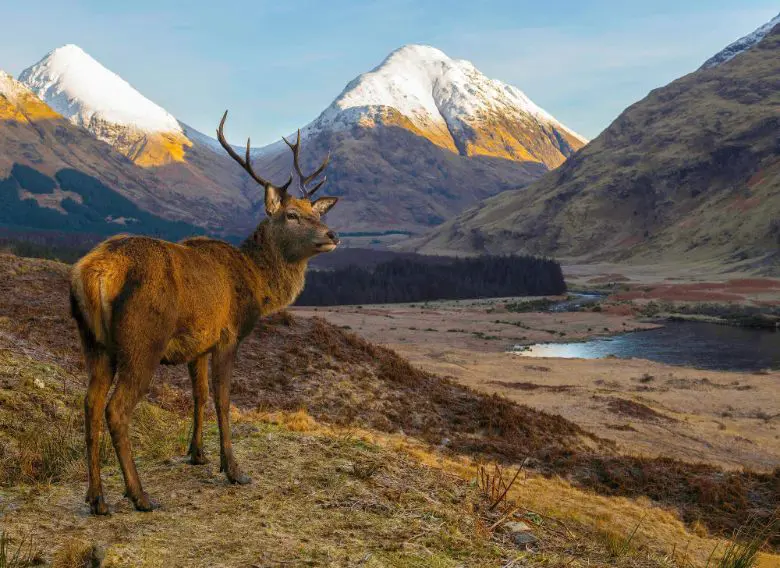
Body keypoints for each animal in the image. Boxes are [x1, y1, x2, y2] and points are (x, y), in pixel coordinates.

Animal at [69, 111, 339, 515]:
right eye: (292, 214)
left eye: (313, 211)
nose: (332, 234)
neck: (258, 284)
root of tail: (95, 273)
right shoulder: (228, 335)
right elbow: (223, 399)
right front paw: (234, 469)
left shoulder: (197, 344)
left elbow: (198, 395)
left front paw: (197, 454)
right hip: (141, 341)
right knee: (115, 409)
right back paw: (139, 495)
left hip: (95, 344)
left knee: (89, 403)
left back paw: (97, 498)